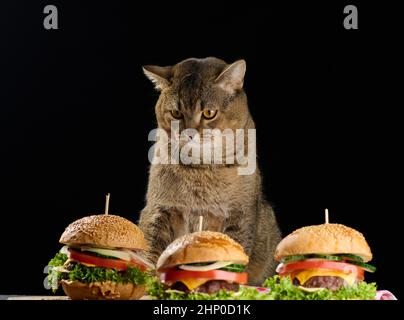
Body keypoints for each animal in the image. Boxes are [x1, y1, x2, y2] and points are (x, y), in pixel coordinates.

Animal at [139, 56, 280, 284]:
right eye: (176, 113)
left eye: (208, 113)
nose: (189, 133)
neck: (200, 168)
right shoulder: (159, 210)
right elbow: (151, 253)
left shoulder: (240, 215)